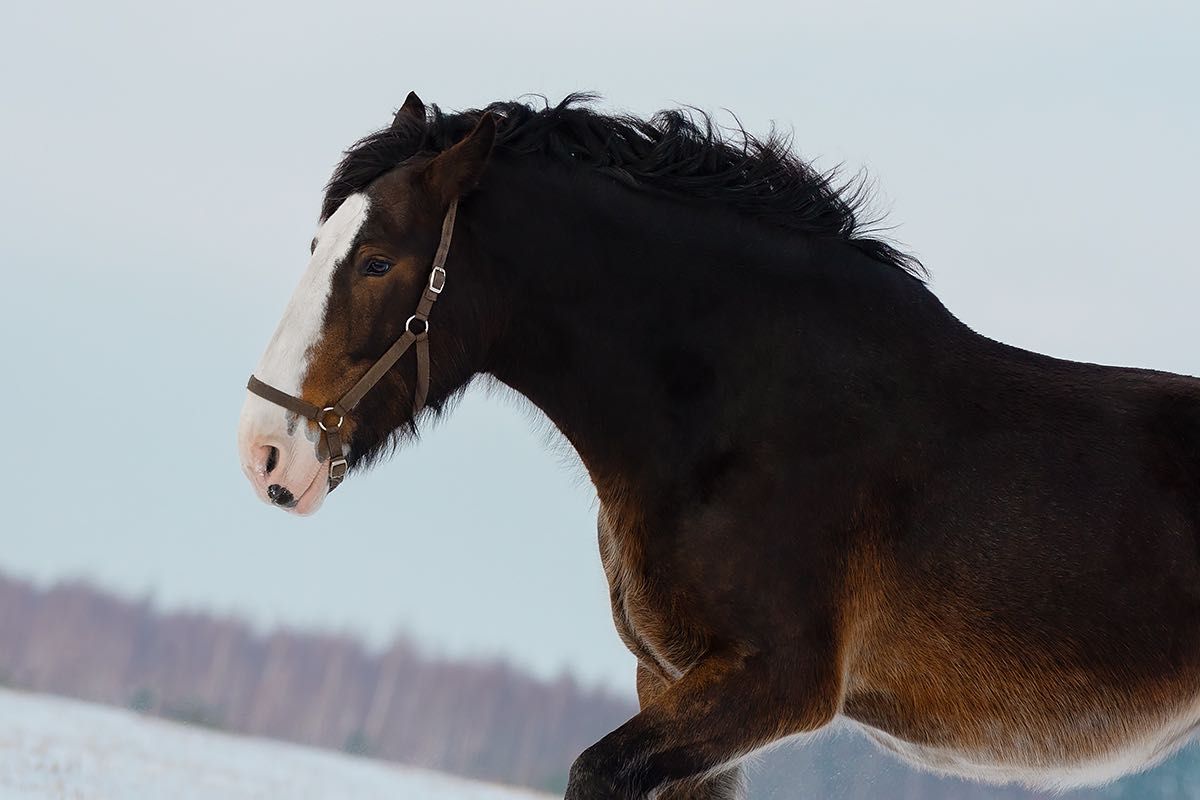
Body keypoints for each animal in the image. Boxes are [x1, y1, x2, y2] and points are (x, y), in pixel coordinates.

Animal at [238, 92, 1200, 796]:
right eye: (320, 243)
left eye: (378, 262)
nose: (265, 451)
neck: (740, 416)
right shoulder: (671, 681)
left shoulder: (771, 687)